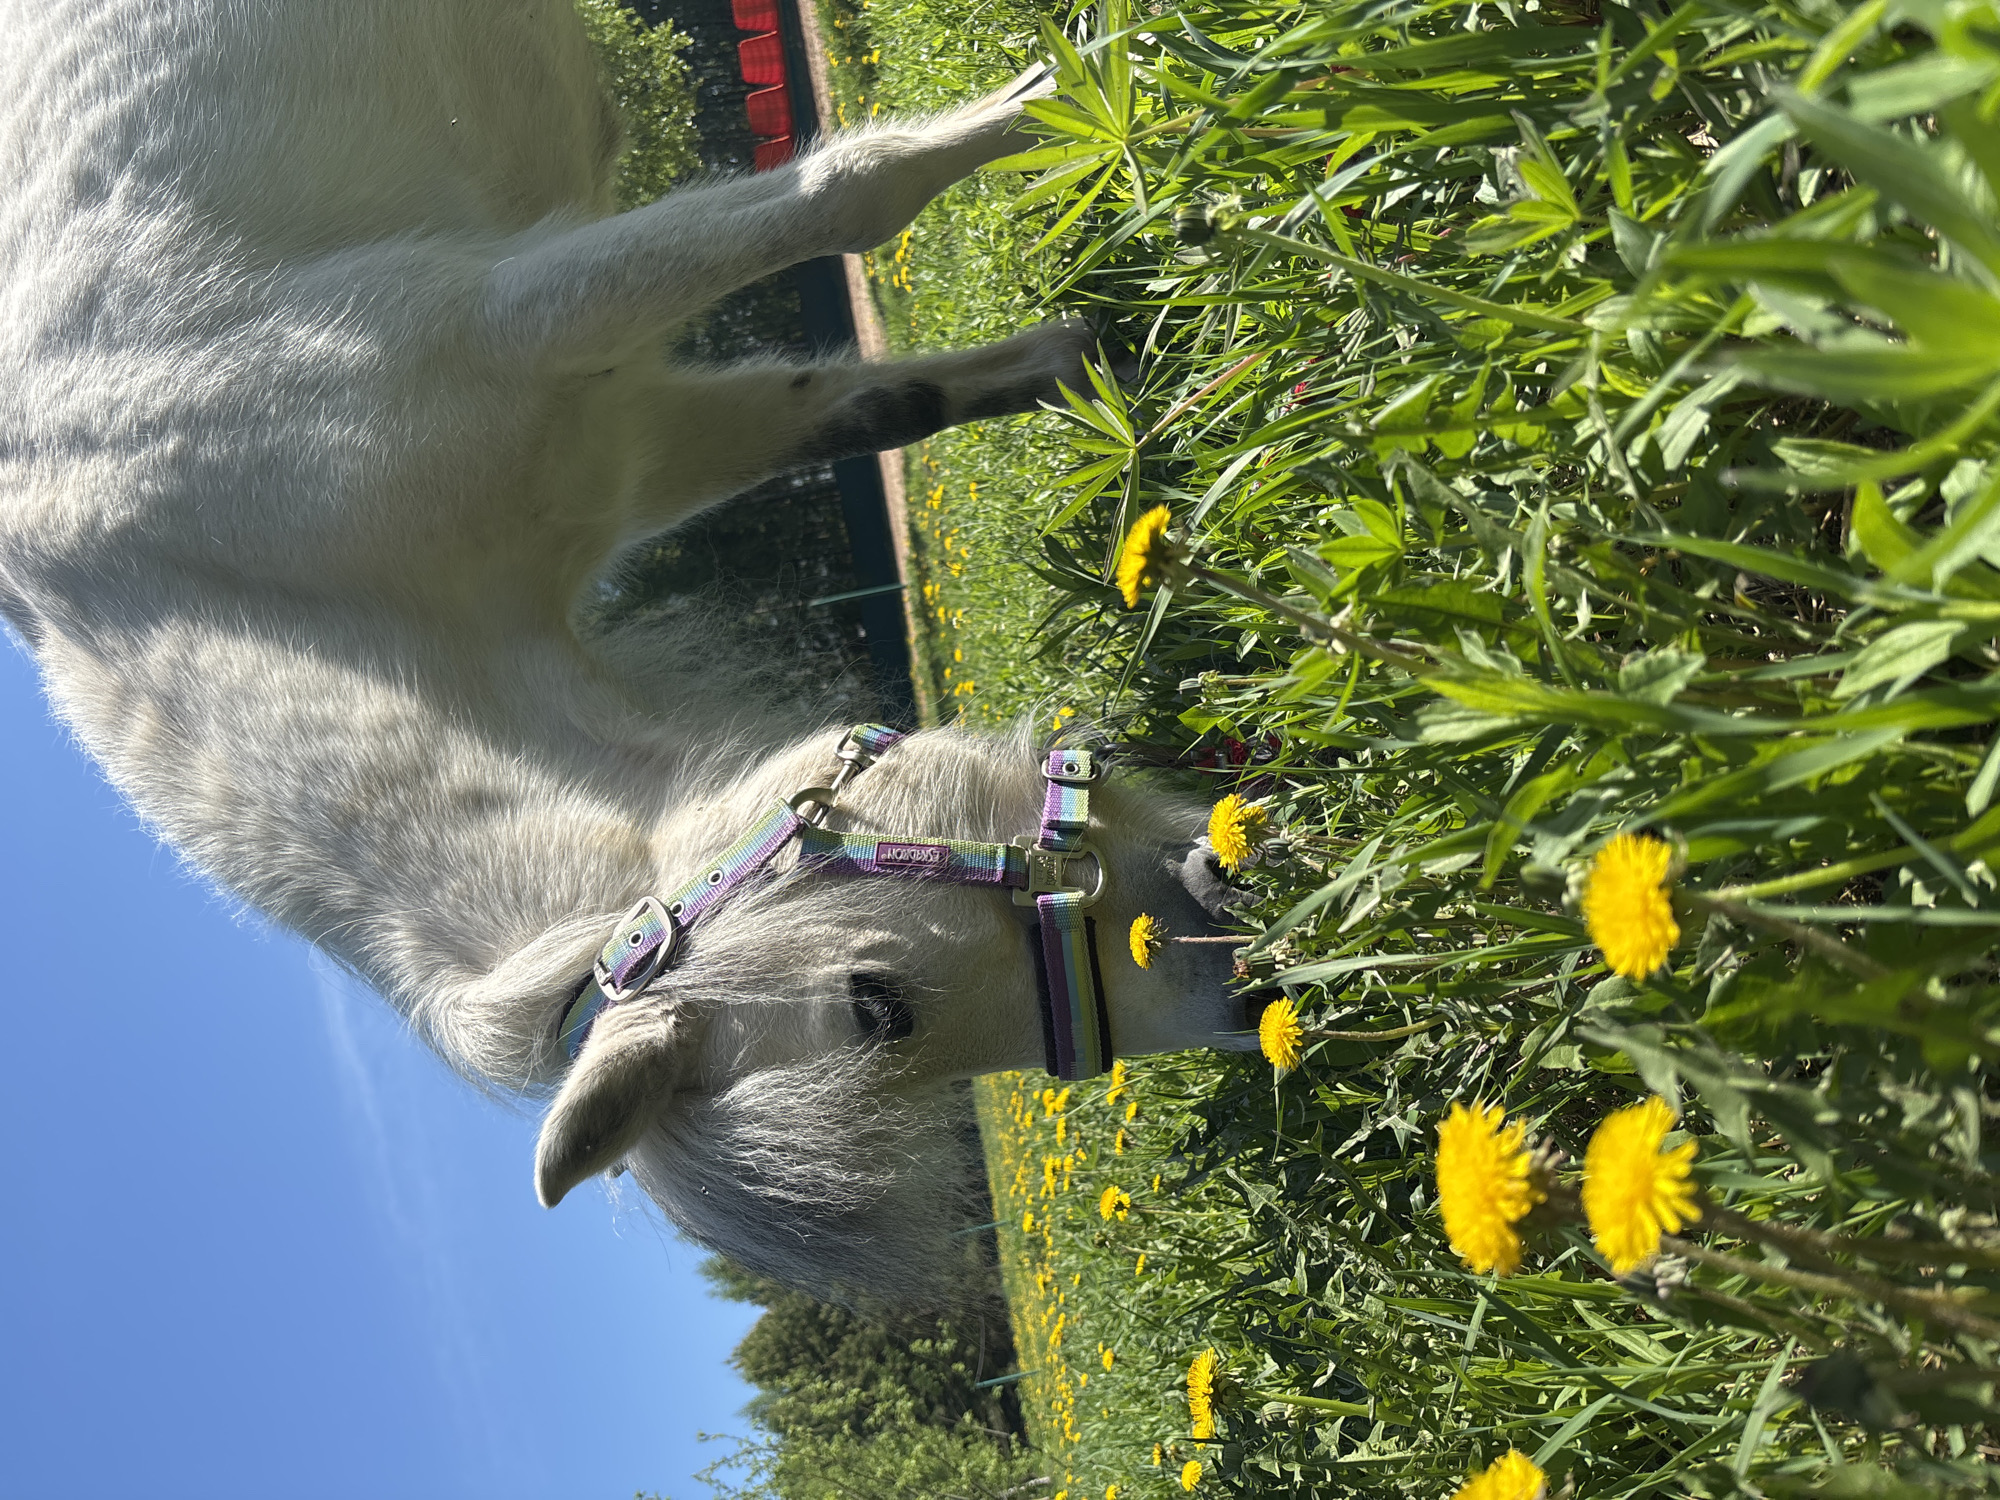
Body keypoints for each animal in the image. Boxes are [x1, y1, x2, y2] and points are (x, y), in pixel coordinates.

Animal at [0, 0, 1246, 1299]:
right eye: (878, 1014)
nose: (1233, 958)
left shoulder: (521, 322)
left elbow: (846, 199)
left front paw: (1080, 83)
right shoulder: (637, 434)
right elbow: (881, 405)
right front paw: (1088, 356)